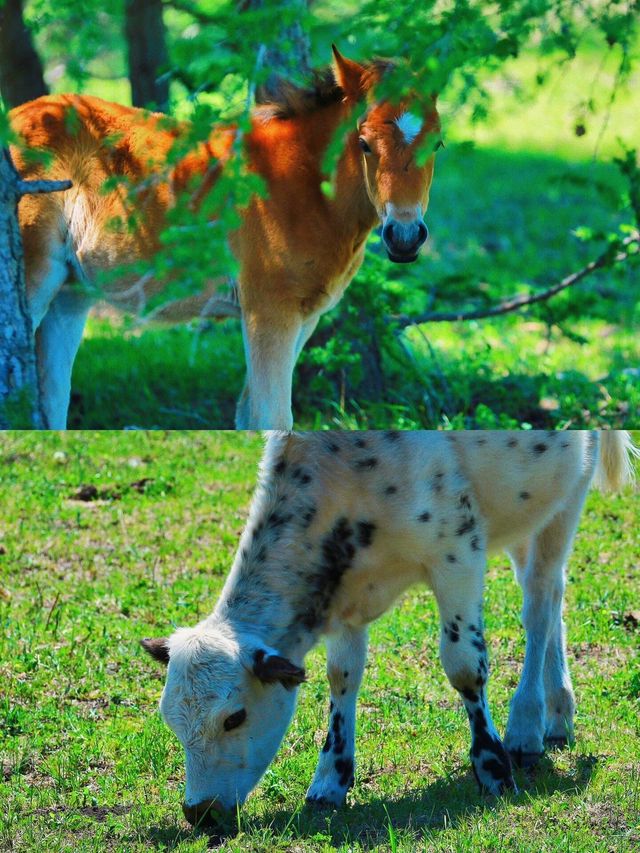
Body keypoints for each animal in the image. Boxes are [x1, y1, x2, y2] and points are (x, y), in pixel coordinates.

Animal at [10, 48, 440, 426]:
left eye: (437, 143)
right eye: (364, 143)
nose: (404, 236)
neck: (304, 188)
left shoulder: (306, 317)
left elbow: (248, 414)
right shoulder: (269, 310)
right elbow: (272, 417)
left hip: (70, 295)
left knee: (52, 398)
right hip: (34, 277)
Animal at [142, 432, 636, 824]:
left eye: (235, 717)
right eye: (170, 720)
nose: (198, 811)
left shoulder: (457, 553)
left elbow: (464, 666)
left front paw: (492, 766)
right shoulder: (344, 592)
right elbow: (342, 676)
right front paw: (330, 780)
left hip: (568, 498)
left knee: (539, 599)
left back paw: (527, 726)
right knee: (552, 596)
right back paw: (559, 713)